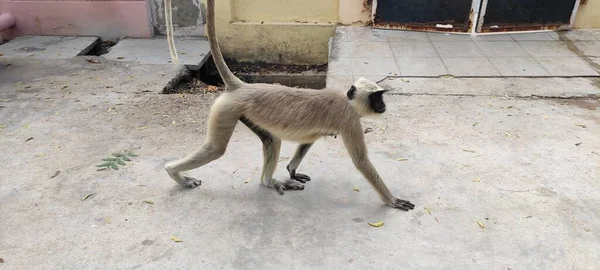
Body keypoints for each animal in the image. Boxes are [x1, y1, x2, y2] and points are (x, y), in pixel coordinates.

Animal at [165, 0, 418, 211]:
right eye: (376, 97)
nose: (383, 105)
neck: (347, 100)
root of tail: (242, 86)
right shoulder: (349, 119)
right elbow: (362, 162)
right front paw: (391, 200)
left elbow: (309, 140)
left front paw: (291, 171)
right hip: (226, 110)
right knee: (216, 149)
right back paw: (174, 173)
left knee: (271, 140)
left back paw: (269, 181)